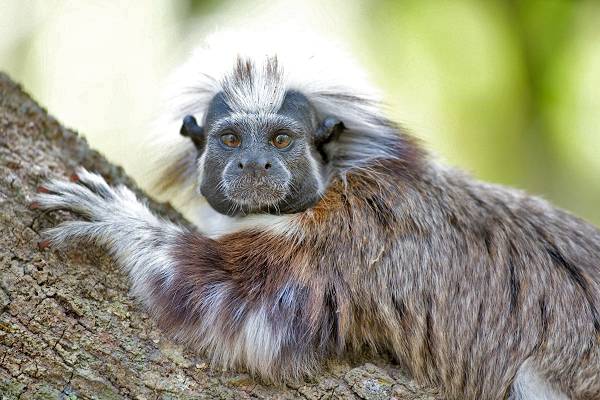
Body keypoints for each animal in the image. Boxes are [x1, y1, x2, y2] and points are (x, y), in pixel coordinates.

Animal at [31, 32, 600, 398]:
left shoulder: (352, 235)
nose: (254, 164)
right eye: (230, 139)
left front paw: (118, 219)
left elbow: (239, 311)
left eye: (282, 140)